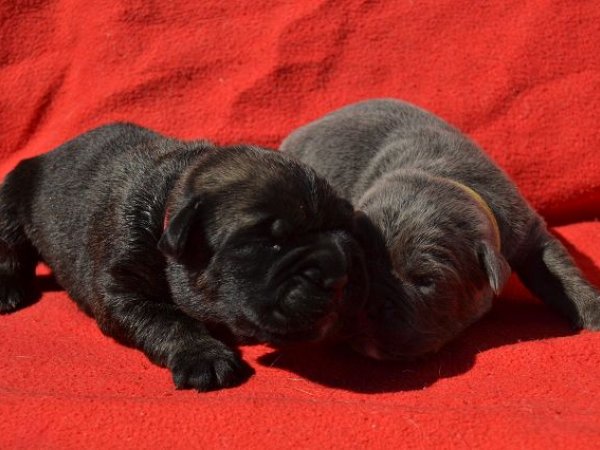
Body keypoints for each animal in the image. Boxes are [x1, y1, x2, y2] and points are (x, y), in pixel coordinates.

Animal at [0, 123, 367, 390]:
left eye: (341, 229)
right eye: (270, 243)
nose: (339, 275)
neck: (169, 200)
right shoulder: (120, 286)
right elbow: (168, 319)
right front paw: (203, 356)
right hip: (14, 192)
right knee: (10, 244)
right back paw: (8, 292)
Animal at [281, 98, 600, 360]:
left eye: (425, 280)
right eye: (358, 269)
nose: (366, 306)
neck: (437, 175)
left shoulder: (527, 232)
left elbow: (560, 272)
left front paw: (593, 309)